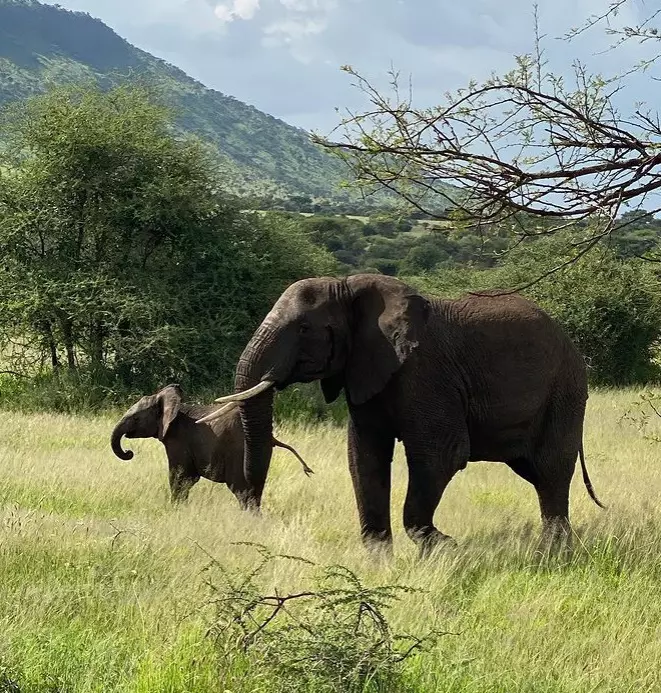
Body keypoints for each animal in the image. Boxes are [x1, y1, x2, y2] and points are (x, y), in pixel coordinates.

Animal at [111, 384, 312, 505]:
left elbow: (179, 478)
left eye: (135, 418)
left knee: (242, 492)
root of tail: (271, 437)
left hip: (239, 454)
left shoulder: (177, 440)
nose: (129, 452)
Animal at [198, 273, 605, 554]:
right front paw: (380, 560)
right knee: (535, 472)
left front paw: (445, 547)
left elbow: (441, 455)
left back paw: (554, 551)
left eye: (303, 328)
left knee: (550, 470)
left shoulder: (425, 373)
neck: (351, 288)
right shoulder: (366, 370)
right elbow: (364, 456)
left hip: (565, 389)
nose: (255, 514)